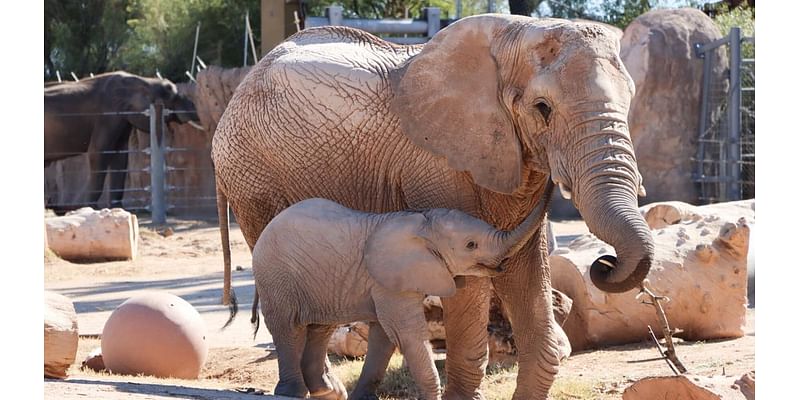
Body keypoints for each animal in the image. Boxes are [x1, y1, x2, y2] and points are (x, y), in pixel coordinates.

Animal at [44, 71, 199, 209]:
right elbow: (98, 153)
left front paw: (118, 208)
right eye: (170, 94)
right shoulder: (109, 114)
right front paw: (91, 208)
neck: (143, 80)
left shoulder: (122, 118)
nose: (193, 106)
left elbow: (120, 156)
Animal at [253, 183, 552, 398]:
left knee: (320, 328)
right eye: (470, 245)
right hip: (275, 276)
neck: (423, 222)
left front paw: (363, 398)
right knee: (288, 327)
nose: (550, 181)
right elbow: (406, 333)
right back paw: (291, 392)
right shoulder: (389, 282)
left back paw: (328, 391)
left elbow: (385, 336)